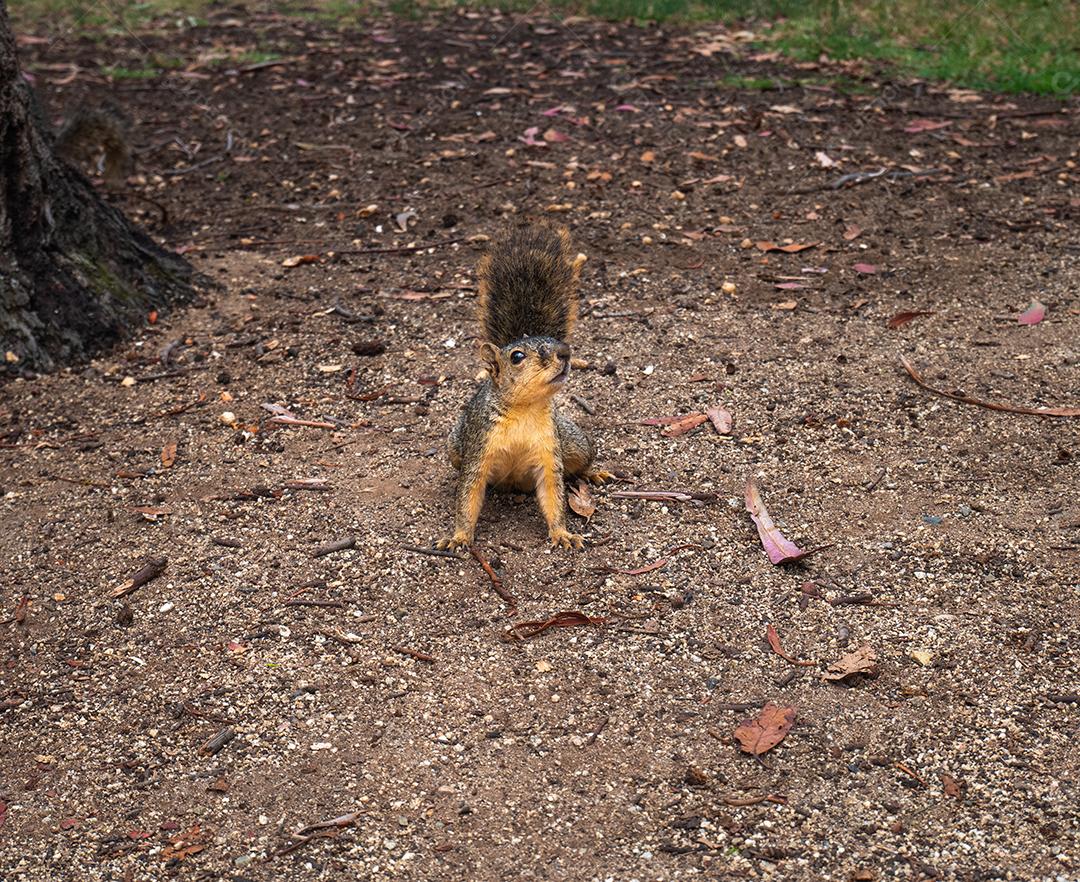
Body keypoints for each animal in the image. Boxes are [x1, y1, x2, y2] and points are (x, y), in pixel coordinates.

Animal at [436, 223, 609, 550]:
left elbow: (554, 494)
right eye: (517, 357)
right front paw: (459, 536)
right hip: (455, 446)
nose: (565, 353)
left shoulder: (548, 451)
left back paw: (595, 472)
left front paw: (562, 533)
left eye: (557, 342)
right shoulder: (478, 450)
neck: (525, 409)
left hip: (574, 443)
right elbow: (468, 496)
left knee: (582, 461)